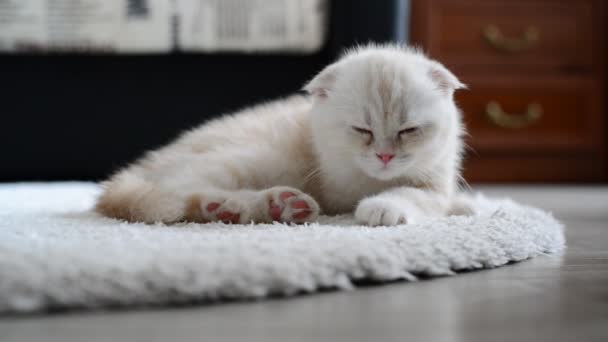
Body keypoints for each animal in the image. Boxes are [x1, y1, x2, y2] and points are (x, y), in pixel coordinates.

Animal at [95, 45, 468, 227]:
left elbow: (419, 193)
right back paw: (245, 205)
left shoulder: (438, 183)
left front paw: (469, 207)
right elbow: (409, 193)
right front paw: (380, 207)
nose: (385, 155)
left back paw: (273, 208)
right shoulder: (339, 186)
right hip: (253, 157)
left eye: (409, 130)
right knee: (177, 190)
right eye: (362, 129)